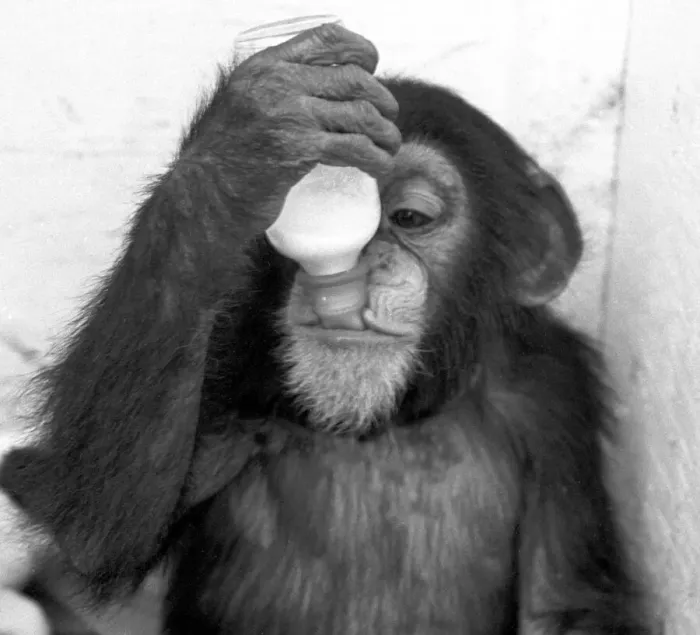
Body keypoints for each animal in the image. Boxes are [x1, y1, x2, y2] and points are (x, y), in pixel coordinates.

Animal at [0, 22, 650, 635]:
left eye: (410, 216)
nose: (361, 260)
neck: (385, 422)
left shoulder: (553, 393)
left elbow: (562, 604)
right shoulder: (225, 352)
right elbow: (90, 523)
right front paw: (246, 144)